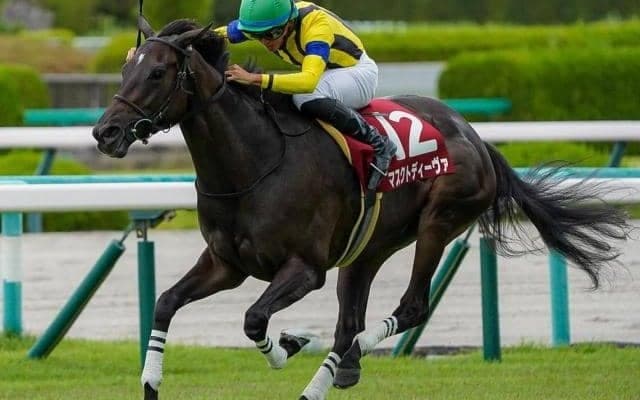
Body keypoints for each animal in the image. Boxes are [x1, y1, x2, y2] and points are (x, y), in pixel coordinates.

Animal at [92, 18, 629, 400]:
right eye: (125, 68)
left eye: (157, 72)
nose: (106, 132)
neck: (254, 165)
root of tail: (475, 135)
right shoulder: (226, 263)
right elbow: (165, 302)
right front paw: (150, 382)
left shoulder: (305, 269)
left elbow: (253, 319)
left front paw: (289, 346)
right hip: (367, 248)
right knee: (348, 322)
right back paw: (331, 376)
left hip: (439, 220)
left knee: (407, 308)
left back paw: (349, 356)